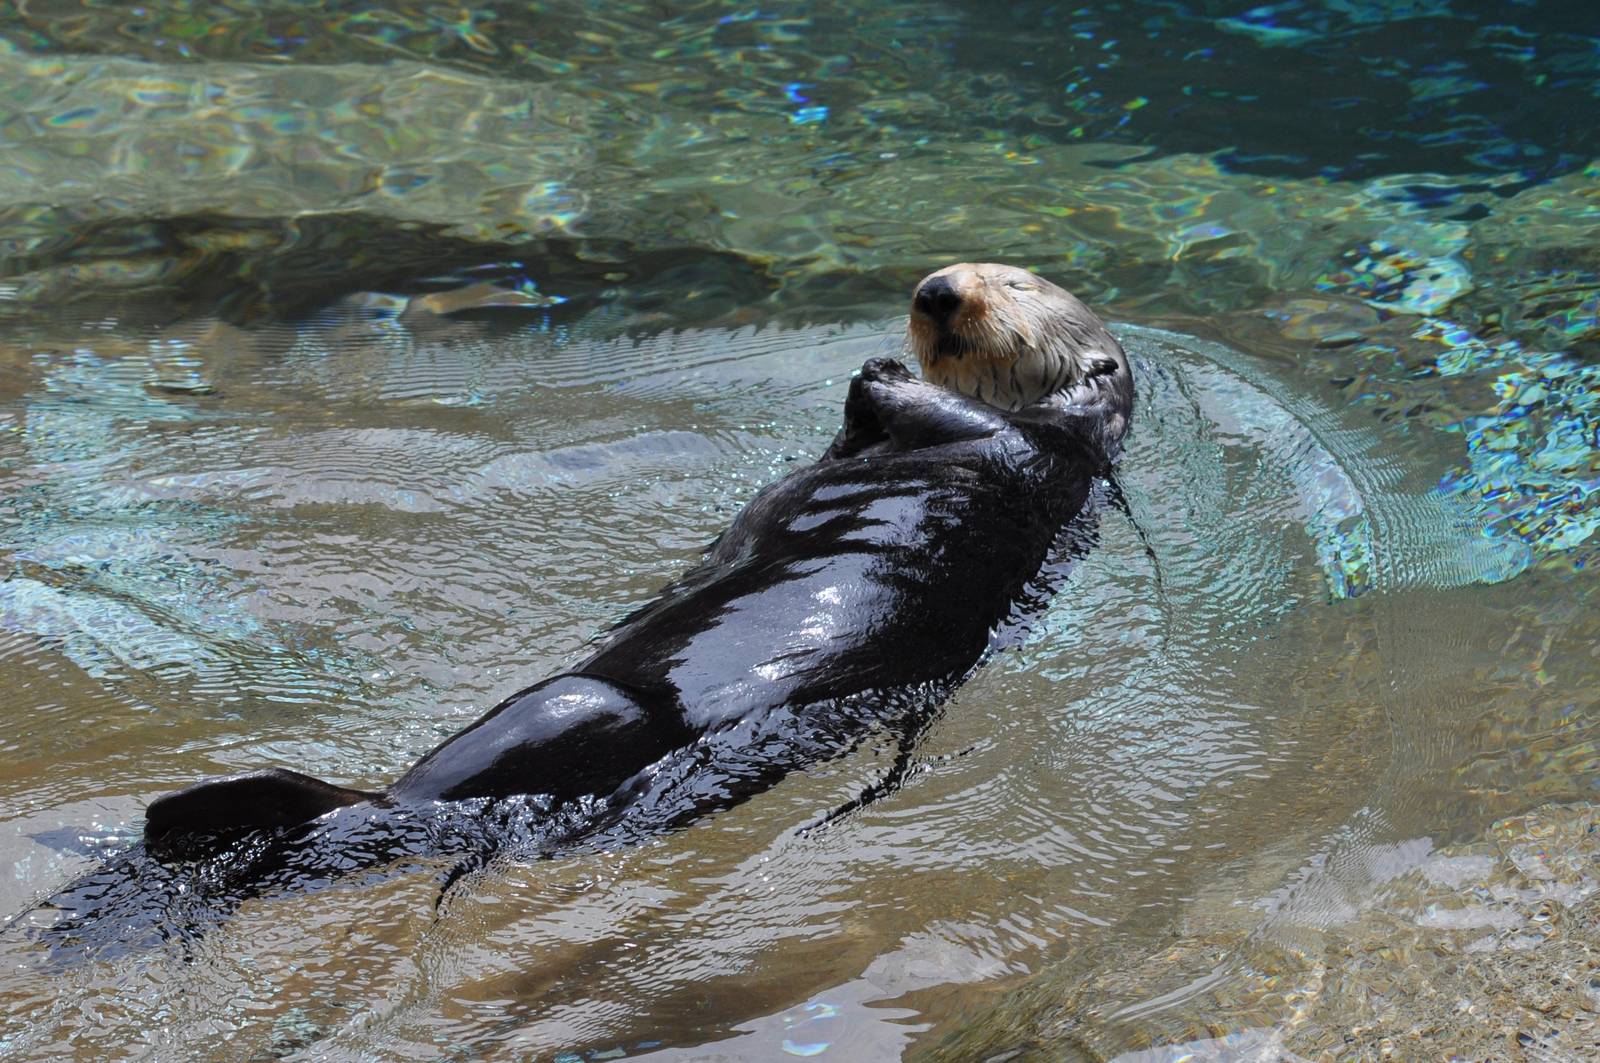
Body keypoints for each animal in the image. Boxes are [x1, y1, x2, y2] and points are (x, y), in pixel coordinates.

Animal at [105, 265, 1134, 896]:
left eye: (1016, 284)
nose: (936, 292)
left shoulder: (1031, 451)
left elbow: (952, 418)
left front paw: (883, 373)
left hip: (586, 707)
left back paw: (205, 813)